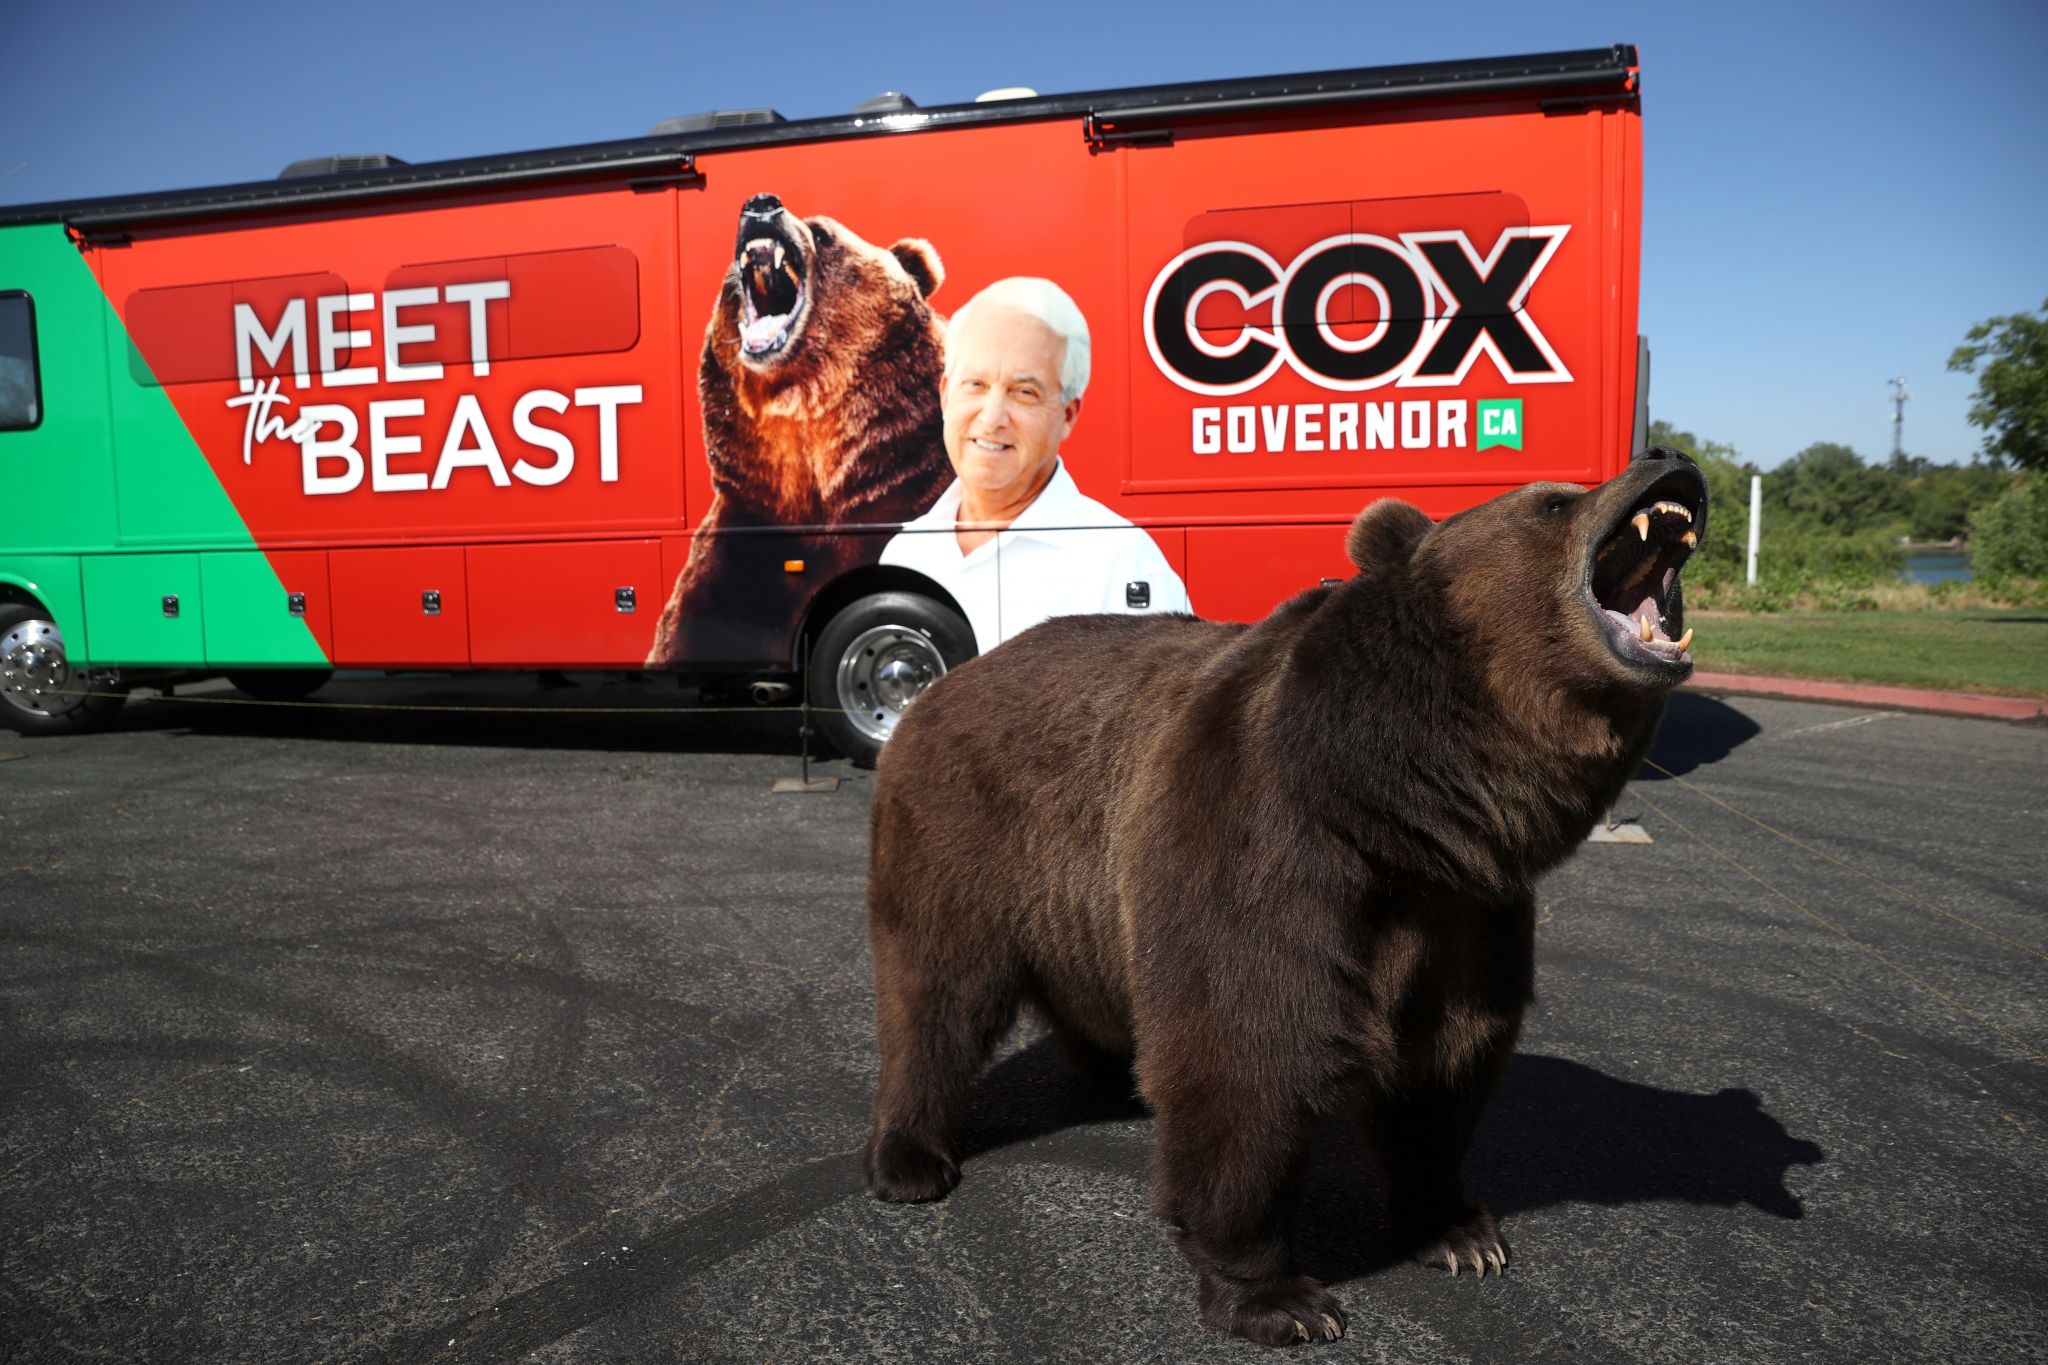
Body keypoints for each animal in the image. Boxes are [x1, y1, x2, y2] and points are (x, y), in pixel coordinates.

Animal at [861, 446, 1708, 1347]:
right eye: (1552, 502)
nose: (1670, 458)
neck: (1399, 804)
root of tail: (941, 685)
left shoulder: (1467, 908)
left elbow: (1447, 1059)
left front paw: (1458, 1229)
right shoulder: (1267, 841)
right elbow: (1249, 1048)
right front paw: (1280, 1296)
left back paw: (1111, 1072)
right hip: (968, 829)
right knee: (937, 993)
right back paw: (911, 1156)